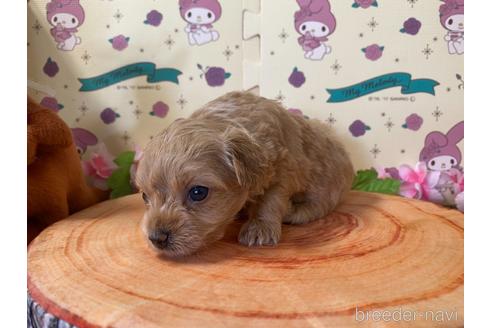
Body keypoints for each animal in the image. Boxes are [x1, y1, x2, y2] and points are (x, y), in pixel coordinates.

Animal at [135, 91, 354, 256]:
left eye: (198, 193)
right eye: (145, 196)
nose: (156, 239)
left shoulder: (283, 169)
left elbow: (270, 200)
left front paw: (259, 228)